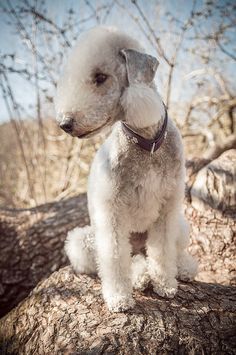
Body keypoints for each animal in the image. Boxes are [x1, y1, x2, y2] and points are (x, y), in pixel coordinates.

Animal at [55, 26, 197, 312]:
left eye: (100, 77)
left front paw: (166, 284)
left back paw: (183, 268)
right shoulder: (112, 212)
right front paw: (119, 298)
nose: (65, 123)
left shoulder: (168, 207)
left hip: (180, 224)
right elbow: (115, 257)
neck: (147, 144)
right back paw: (140, 276)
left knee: (169, 252)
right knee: (129, 259)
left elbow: (163, 251)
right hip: (83, 241)